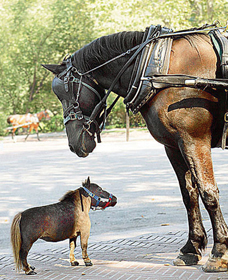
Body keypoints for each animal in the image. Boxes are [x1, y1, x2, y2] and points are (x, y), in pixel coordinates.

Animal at [42, 25, 228, 272]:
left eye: (67, 93)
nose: (73, 144)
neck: (158, 70)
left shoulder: (194, 140)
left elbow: (208, 193)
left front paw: (219, 251)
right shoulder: (174, 145)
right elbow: (189, 195)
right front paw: (192, 247)